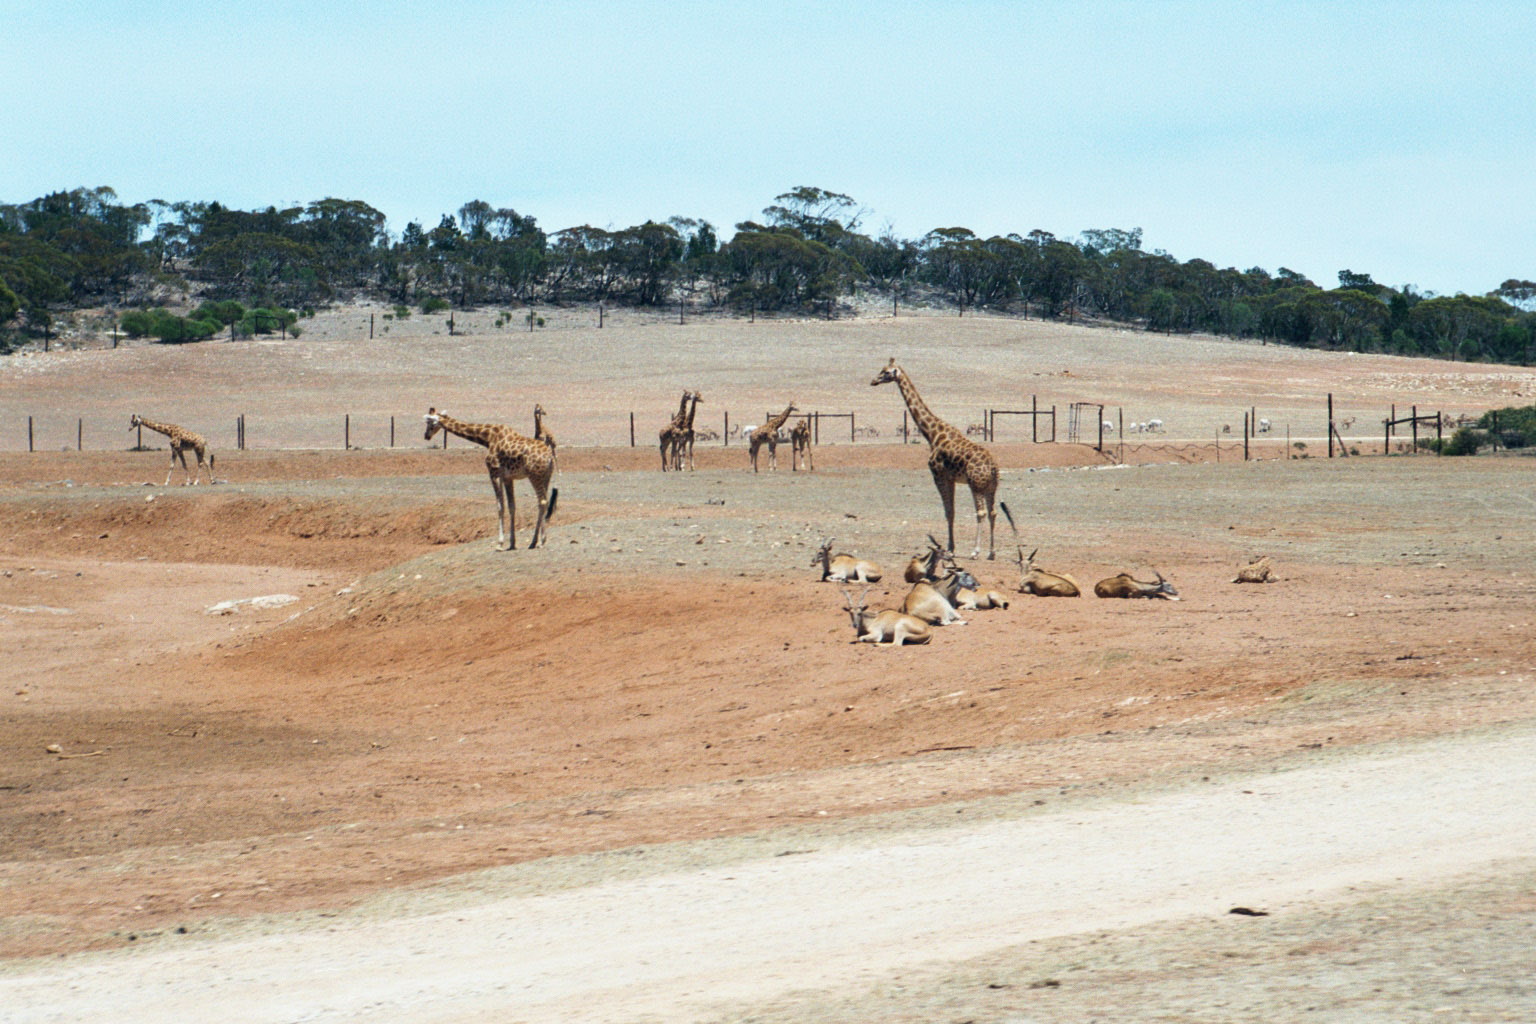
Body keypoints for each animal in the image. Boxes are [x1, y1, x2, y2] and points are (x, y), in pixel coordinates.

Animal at [424, 407, 556, 550]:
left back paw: (540, 541)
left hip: (534, 475)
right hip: (546, 476)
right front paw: (512, 543)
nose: (426, 436)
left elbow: (500, 506)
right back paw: (535, 541)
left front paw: (500, 543)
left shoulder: (494, 473)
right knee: (544, 501)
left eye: (429, 423)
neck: (487, 438)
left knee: (542, 501)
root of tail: (550, 457)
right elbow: (511, 506)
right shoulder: (507, 477)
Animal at [871, 358, 1000, 559]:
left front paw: (950, 549)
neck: (932, 434)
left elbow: (948, 512)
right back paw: (992, 552)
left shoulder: (938, 476)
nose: (873, 381)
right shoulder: (951, 478)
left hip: (976, 484)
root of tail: (993, 468)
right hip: (991, 486)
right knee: (993, 512)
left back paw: (975, 551)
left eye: (886, 372)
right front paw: (951, 548)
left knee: (981, 512)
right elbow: (952, 512)